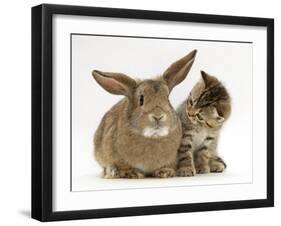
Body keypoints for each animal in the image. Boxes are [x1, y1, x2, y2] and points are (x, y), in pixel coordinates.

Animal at [91, 50, 196, 179]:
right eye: (141, 99)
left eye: (167, 99)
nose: (158, 116)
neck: (153, 137)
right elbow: (121, 166)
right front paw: (132, 173)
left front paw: (165, 172)